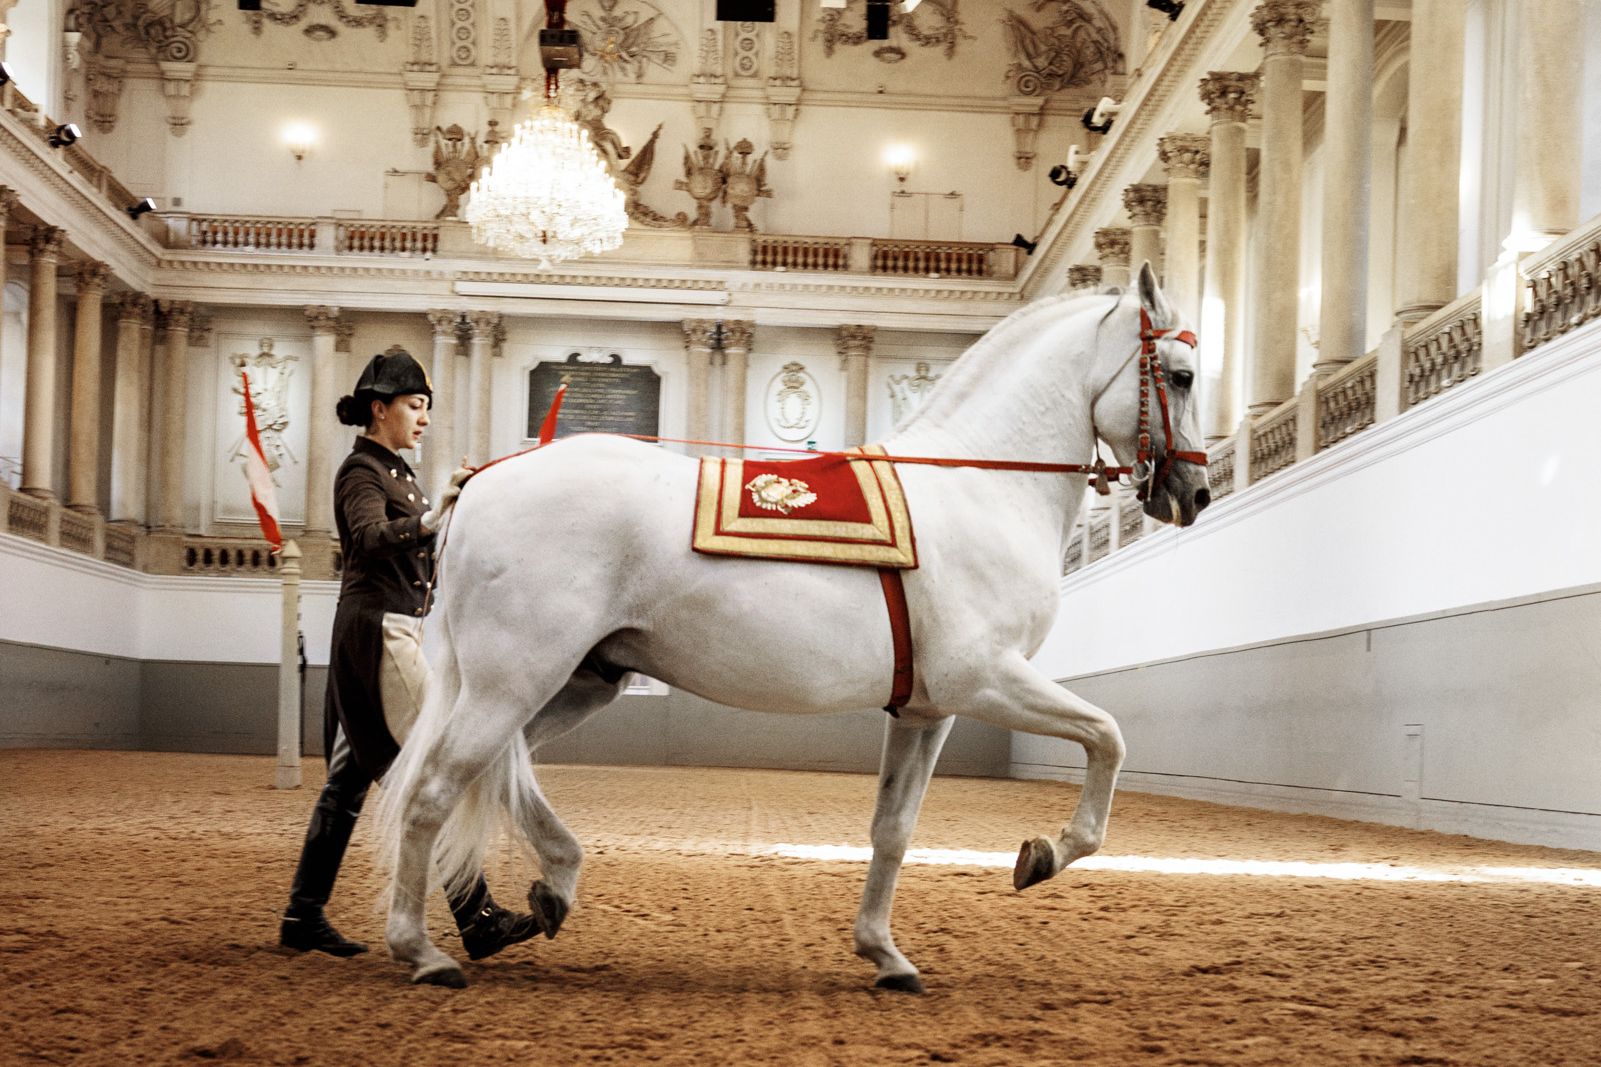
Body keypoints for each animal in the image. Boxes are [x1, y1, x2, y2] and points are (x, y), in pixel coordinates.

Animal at [373, 263, 1210, 992]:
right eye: (1180, 375)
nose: (1195, 491)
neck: (975, 484)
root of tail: (483, 480)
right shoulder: (986, 678)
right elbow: (1107, 736)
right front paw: (1043, 853)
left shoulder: (927, 709)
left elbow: (893, 828)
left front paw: (884, 953)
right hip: (514, 680)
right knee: (434, 788)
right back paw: (422, 948)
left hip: (574, 682)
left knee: (497, 769)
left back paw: (550, 886)